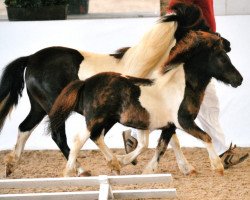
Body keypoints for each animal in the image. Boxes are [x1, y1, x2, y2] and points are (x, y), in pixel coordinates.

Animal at [48, 30, 242, 176]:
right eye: (222, 58)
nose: (239, 80)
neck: (180, 86)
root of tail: (86, 82)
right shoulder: (183, 121)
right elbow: (206, 137)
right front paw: (218, 167)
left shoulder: (169, 126)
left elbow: (160, 147)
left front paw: (146, 169)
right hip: (96, 118)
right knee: (79, 139)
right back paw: (70, 172)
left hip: (106, 120)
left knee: (96, 137)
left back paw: (114, 164)